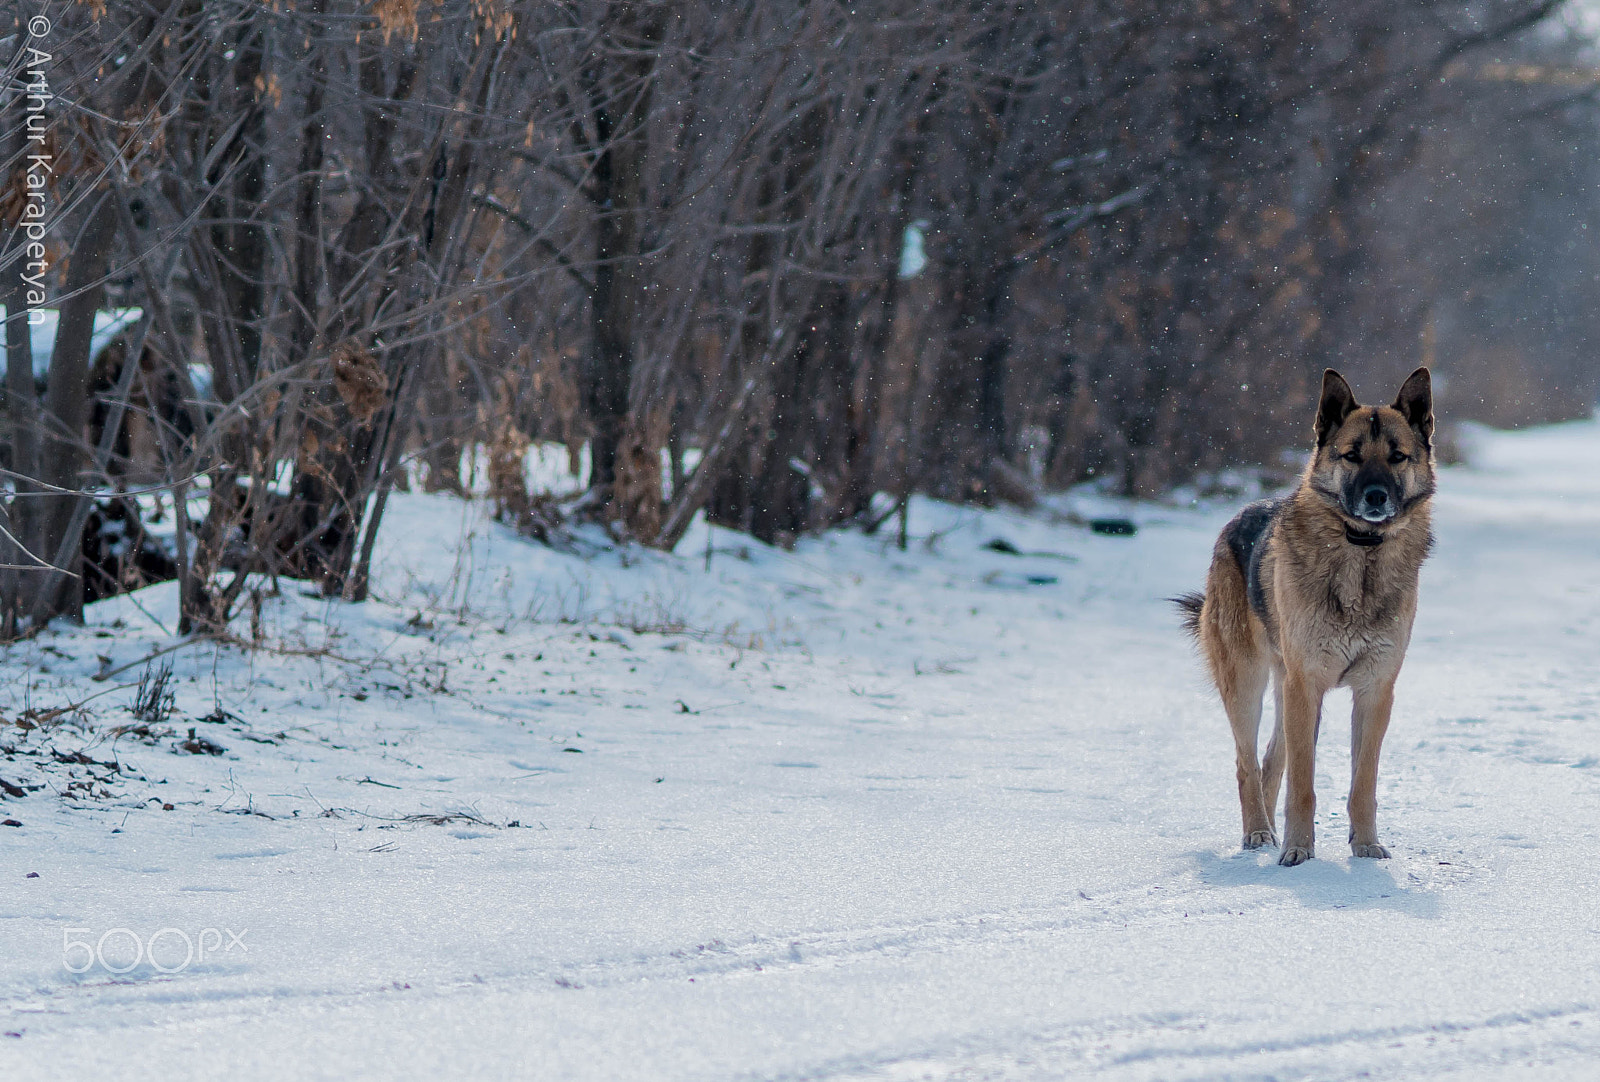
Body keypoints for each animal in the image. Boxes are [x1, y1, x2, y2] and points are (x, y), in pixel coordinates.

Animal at [1177, 368, 1440, 864]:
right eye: (1352, 455)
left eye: (1397, 457)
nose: (1376, 497)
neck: (1360, 556)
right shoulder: (1308, 685)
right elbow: (1303, 784)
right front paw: (1298, 850)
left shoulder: (1375, 691)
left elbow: (1363, 783)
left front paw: (1366, 845)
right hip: (1250, 685)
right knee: (1245, 762)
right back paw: (1259, 833)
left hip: (1288, 691)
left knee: (1270, 759)